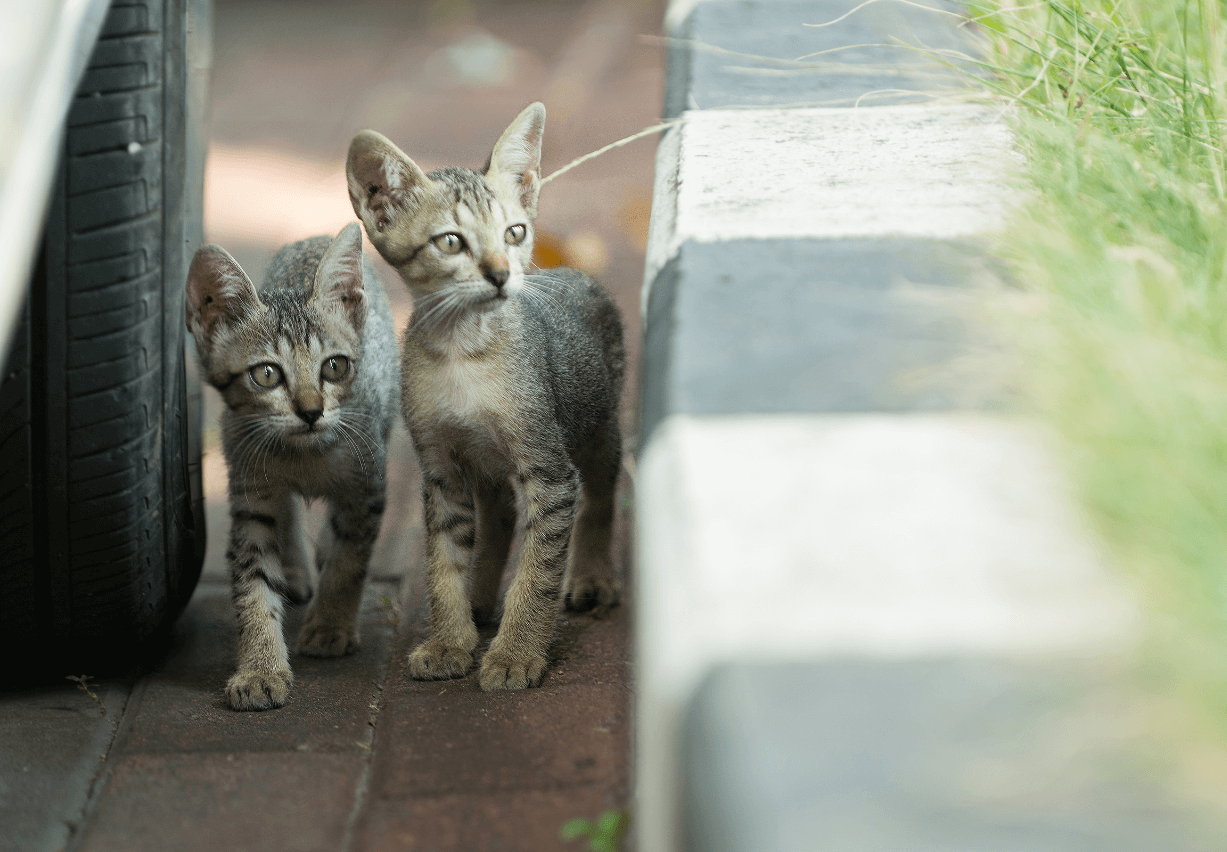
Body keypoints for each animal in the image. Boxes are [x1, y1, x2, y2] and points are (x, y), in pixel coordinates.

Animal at [186, 223, 397, 712]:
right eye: (266, 374)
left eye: (334, 367)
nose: (311, 411)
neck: (304, 456)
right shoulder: (250, 496)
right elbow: (253, 581)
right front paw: (261, 668)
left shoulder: (368, 485)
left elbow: (349, 559)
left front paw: (331, 625)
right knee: (288, 511)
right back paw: (296, 571)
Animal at [350, 101, 628, 692]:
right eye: (451, 241)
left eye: (515, 232)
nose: (503, 274)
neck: (463, 353)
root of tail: (578, 273)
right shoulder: (441, 468)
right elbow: (443, 562)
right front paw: (450, 641)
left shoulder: (550, 469)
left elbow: (539, 569)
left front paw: (517, 652)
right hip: (487, 460)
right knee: (499, 512)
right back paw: (480, 602)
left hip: (598, 428)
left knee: (600, 497)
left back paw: (593, 576)